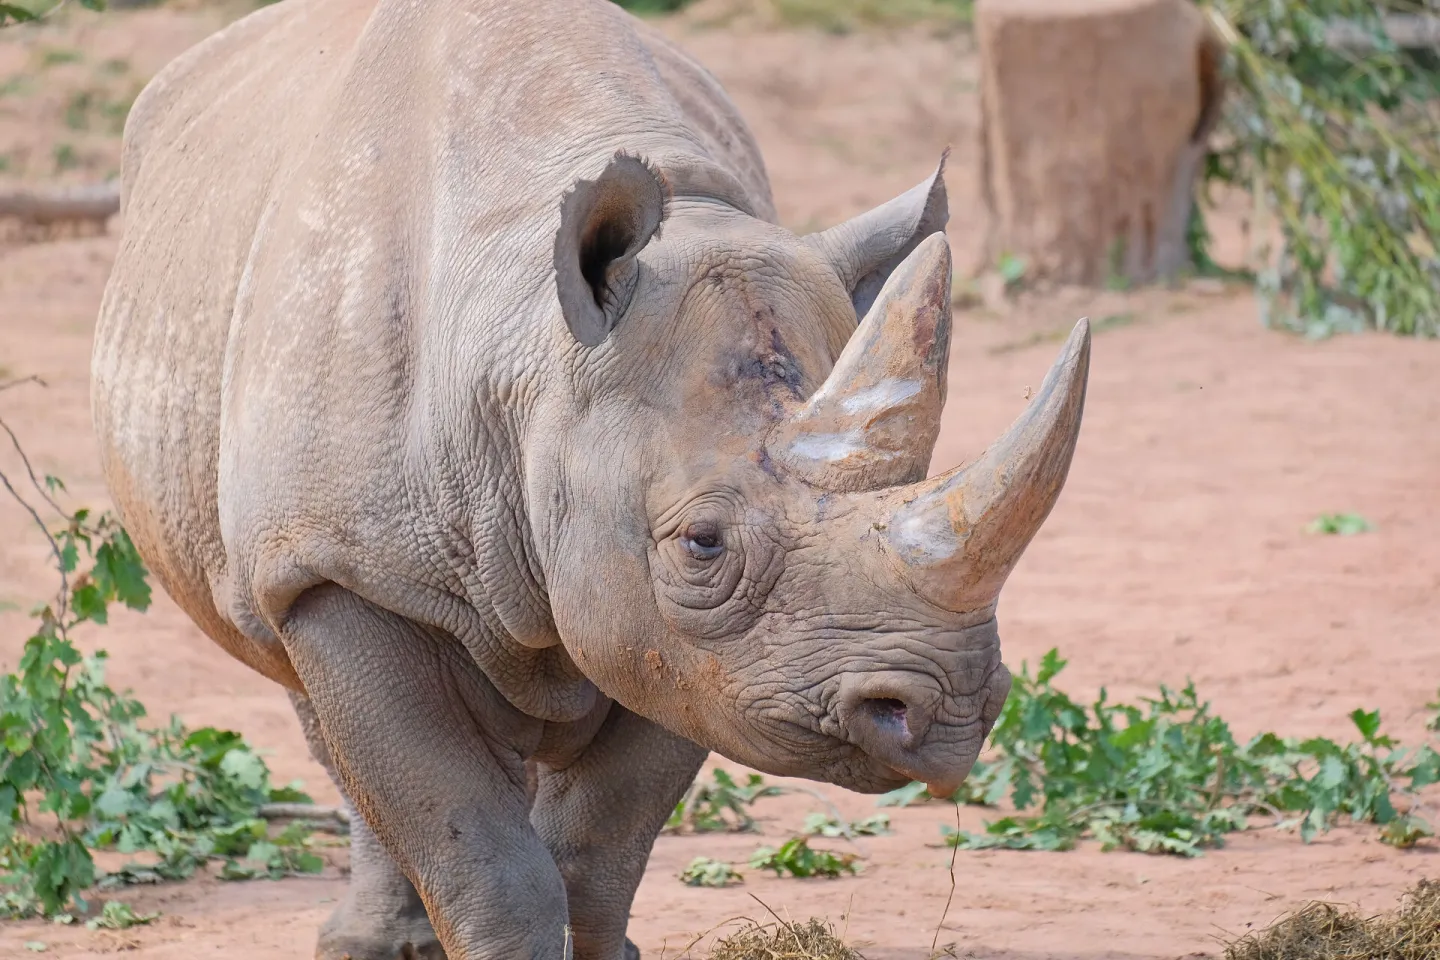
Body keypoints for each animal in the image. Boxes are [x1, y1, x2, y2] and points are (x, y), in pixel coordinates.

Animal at [90, 0, 1090, 956]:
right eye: (702, 543)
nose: (950, 712)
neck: (522, 354)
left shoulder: (681, 648)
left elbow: (598, 851)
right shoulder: (341, 566)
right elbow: (478, 849)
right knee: (314, 697)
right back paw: (368, 945)